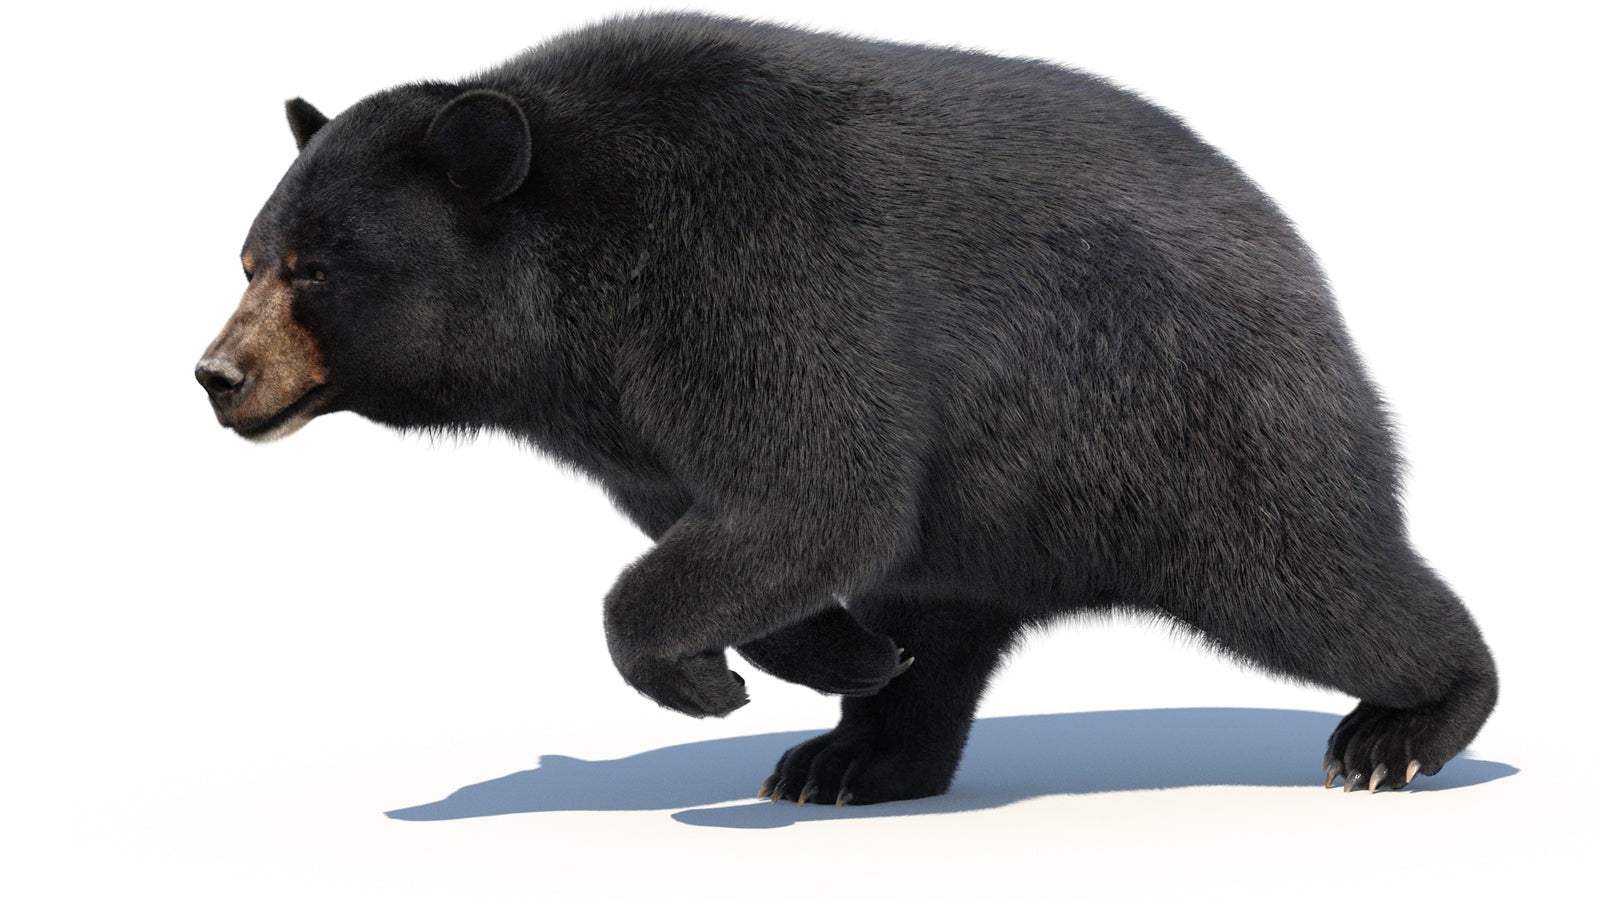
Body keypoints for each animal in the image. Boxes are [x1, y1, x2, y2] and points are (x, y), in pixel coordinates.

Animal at [196, 12, 1497, 804]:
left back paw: (1404, 728)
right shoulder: (632, 417)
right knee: (950, 614)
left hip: (1188, 425)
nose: (218, 376)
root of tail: (1292, 251)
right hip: (1012, 497)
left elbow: (821, 492)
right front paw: (837, 655)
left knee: (1314, 579)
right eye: (249, 257)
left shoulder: (749, 278)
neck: (576, 297)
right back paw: (855, 754)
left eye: (317, 269)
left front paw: (704, 674)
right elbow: (767, 530)